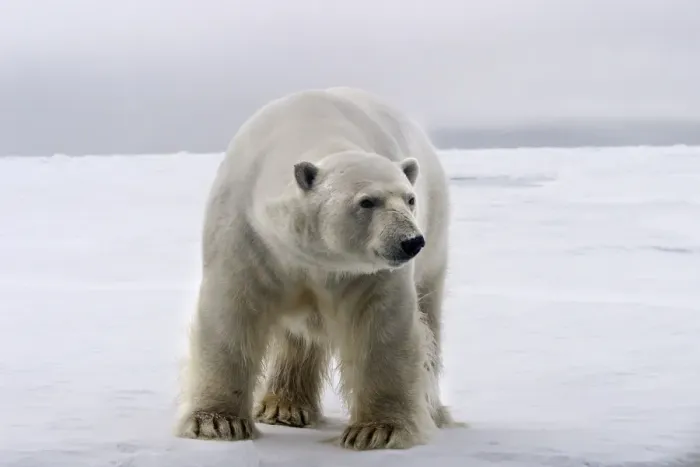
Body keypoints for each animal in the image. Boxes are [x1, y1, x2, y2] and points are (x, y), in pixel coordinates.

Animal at [174, 86, 457, 450]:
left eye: (409, 199)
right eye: (367, 201)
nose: (410, 241)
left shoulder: (365, 273)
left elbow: (381, 327)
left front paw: (378, 431)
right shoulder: (249, 235)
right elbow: (232, 313)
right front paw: (216, 423)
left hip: (436, 242)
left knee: (429, 317)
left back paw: (433, 410)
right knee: (297, 338)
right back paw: (283, 407)